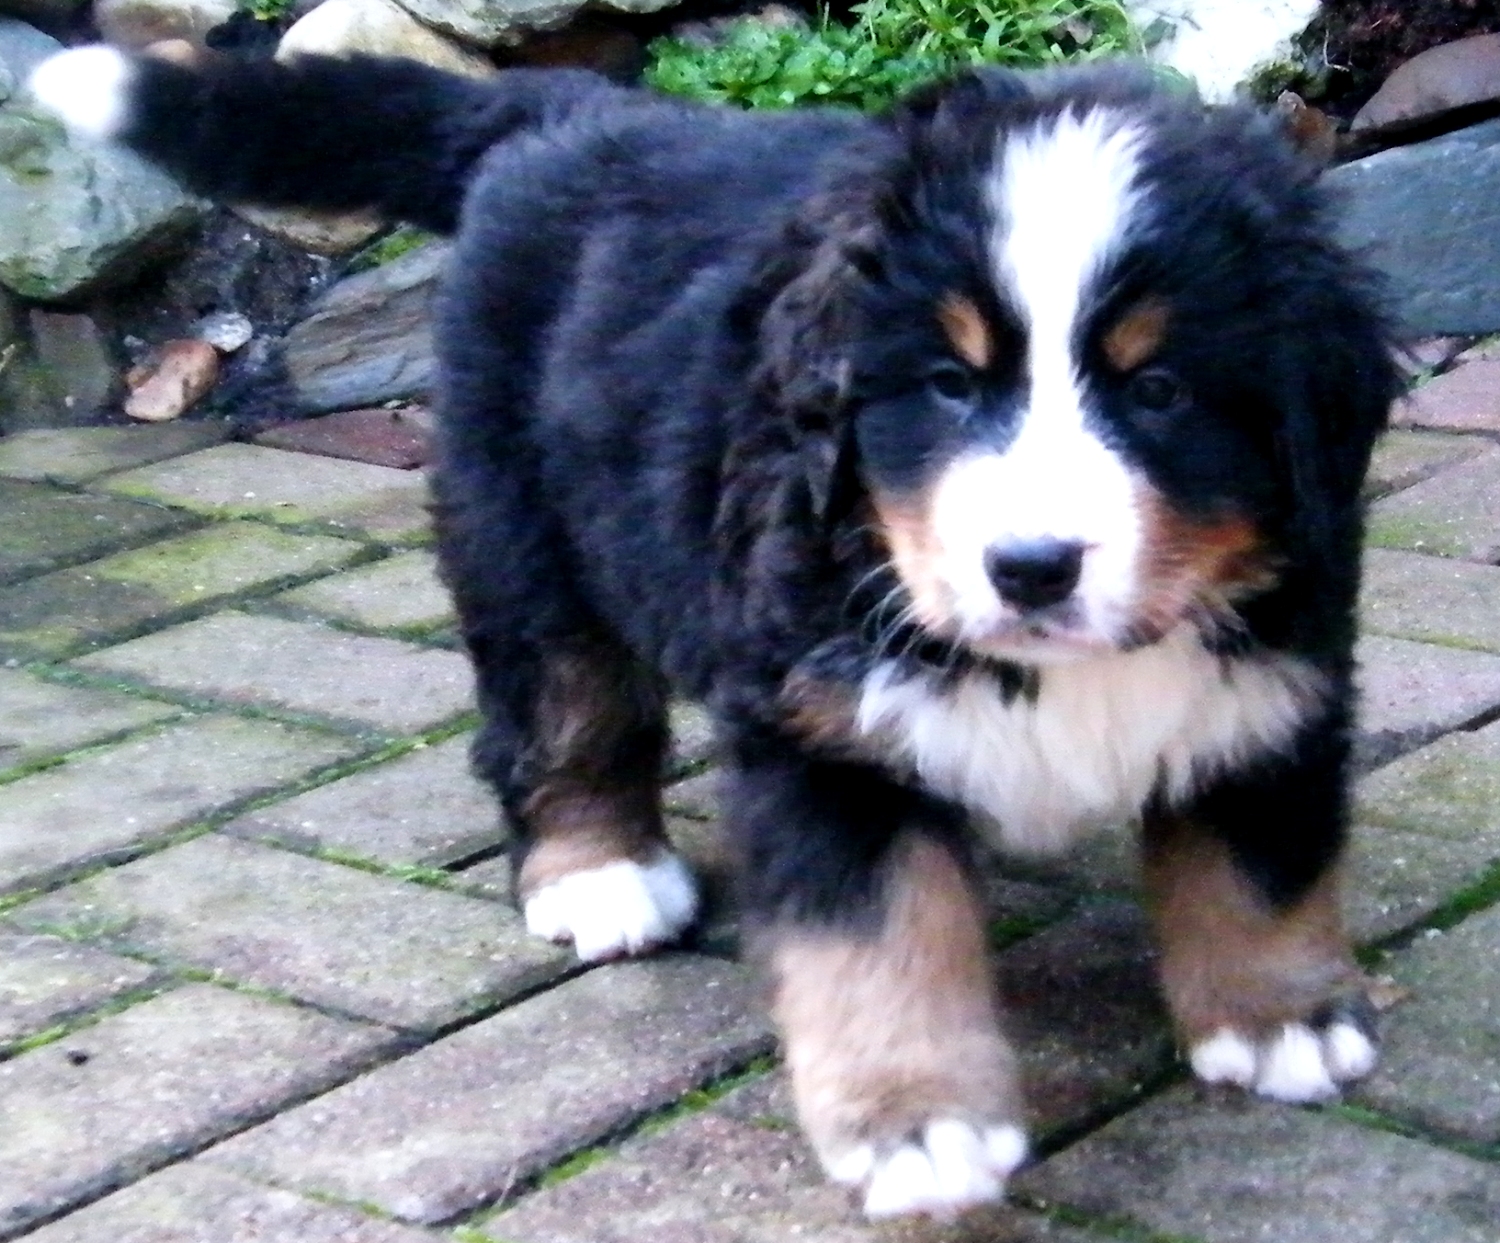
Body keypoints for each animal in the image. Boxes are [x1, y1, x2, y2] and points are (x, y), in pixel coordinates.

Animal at [29, 44, 1400, 1218]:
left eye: (1158, 389)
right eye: (948, 385)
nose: (1029, 567)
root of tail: (569, 105)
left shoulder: (1282, 674)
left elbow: (1257, 858)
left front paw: (1278, 1019)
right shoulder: (823, 730)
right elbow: (882, 941)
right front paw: (916, 1123)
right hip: (523, 528)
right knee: (561, 713)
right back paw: (599, 872)